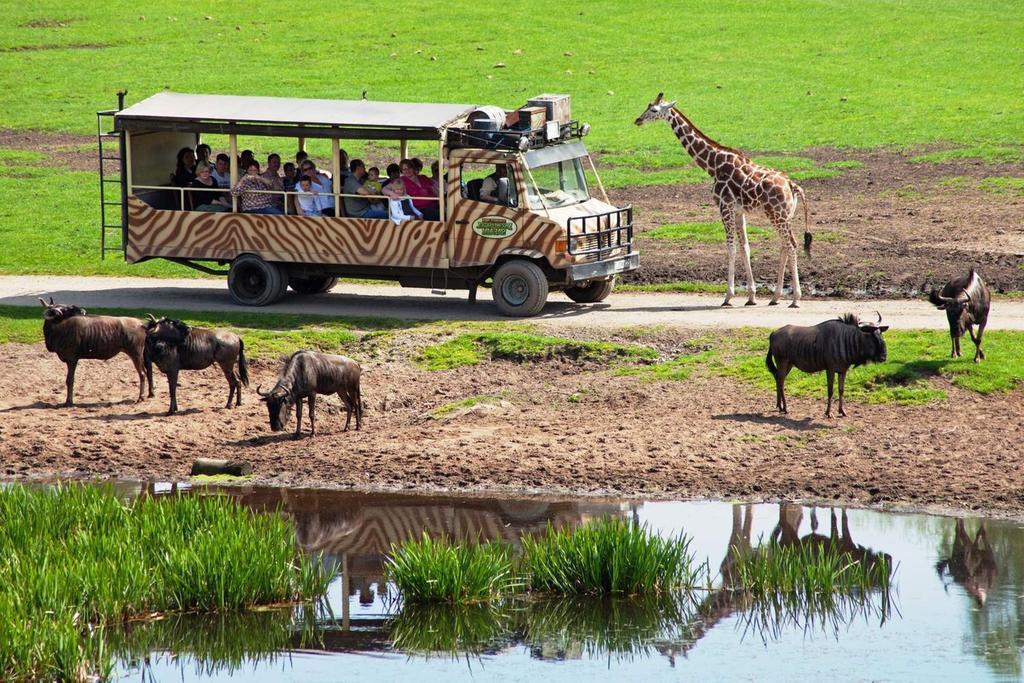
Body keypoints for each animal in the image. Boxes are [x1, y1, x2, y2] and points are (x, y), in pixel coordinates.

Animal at [630, 92, 806, 307]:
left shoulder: (724, 206)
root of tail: (792, 185)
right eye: (647, 106)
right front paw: (751, 296)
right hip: (783, 215)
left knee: (791, 244)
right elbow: (745, 248)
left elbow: (731, 248)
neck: (713, 165)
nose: (638, 120)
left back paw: (795, 298)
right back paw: (775, 297)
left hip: (777, 215)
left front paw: (728, 296)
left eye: (654, 110)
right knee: (784, 245)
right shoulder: (738, 211)